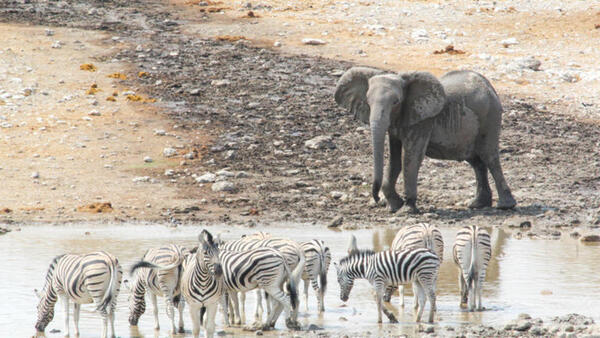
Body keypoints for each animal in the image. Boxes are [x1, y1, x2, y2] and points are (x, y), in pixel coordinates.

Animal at [332, 66, 516, 213]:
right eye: (368, 103)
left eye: (396, 102)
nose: (376, 200)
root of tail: (489, 85)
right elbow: (395, 160)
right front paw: (394, 206)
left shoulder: (423, 120)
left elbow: (410, 157)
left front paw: (407, 209)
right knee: (476, 161)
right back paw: (478, 205)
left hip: (490, 117)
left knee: (489, 157)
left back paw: (505, 206)